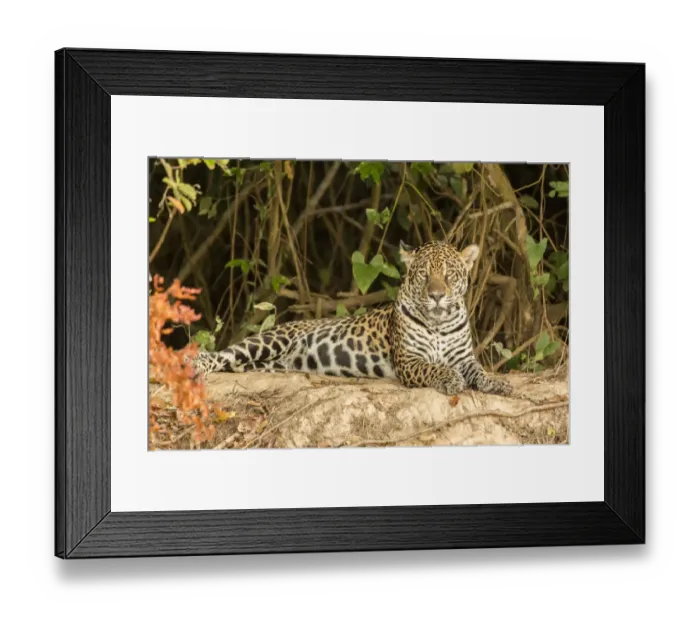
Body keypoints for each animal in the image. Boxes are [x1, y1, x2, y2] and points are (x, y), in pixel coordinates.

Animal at [191, 240, 513, 397]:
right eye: (424, 275)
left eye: (449, 275)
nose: (436, 295)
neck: (438, 321)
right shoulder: (409, 361)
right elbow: (433, 367)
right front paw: (451, 379)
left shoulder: (464, 357)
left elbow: (479, 372)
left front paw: (497, 384)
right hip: (269, 340)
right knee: (221, 354)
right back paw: (197, 365)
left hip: (269, 364)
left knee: (238, 364)